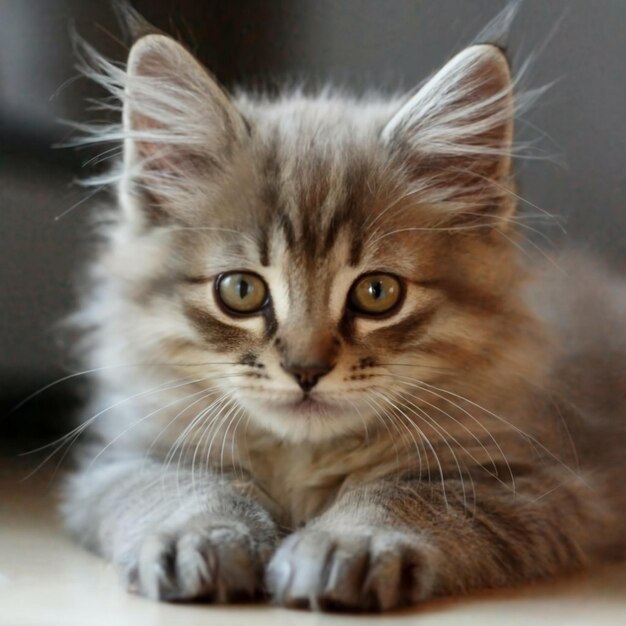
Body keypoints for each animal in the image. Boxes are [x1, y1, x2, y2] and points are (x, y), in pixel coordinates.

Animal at [62, 18, 624, 608]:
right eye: (240, 290)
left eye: (377, 293)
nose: (306, 370)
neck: (303, 458)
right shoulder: (123, 460)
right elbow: (181, 487)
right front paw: (200, 534)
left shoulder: (532, 484)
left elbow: (401, 496)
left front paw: (347, 545)